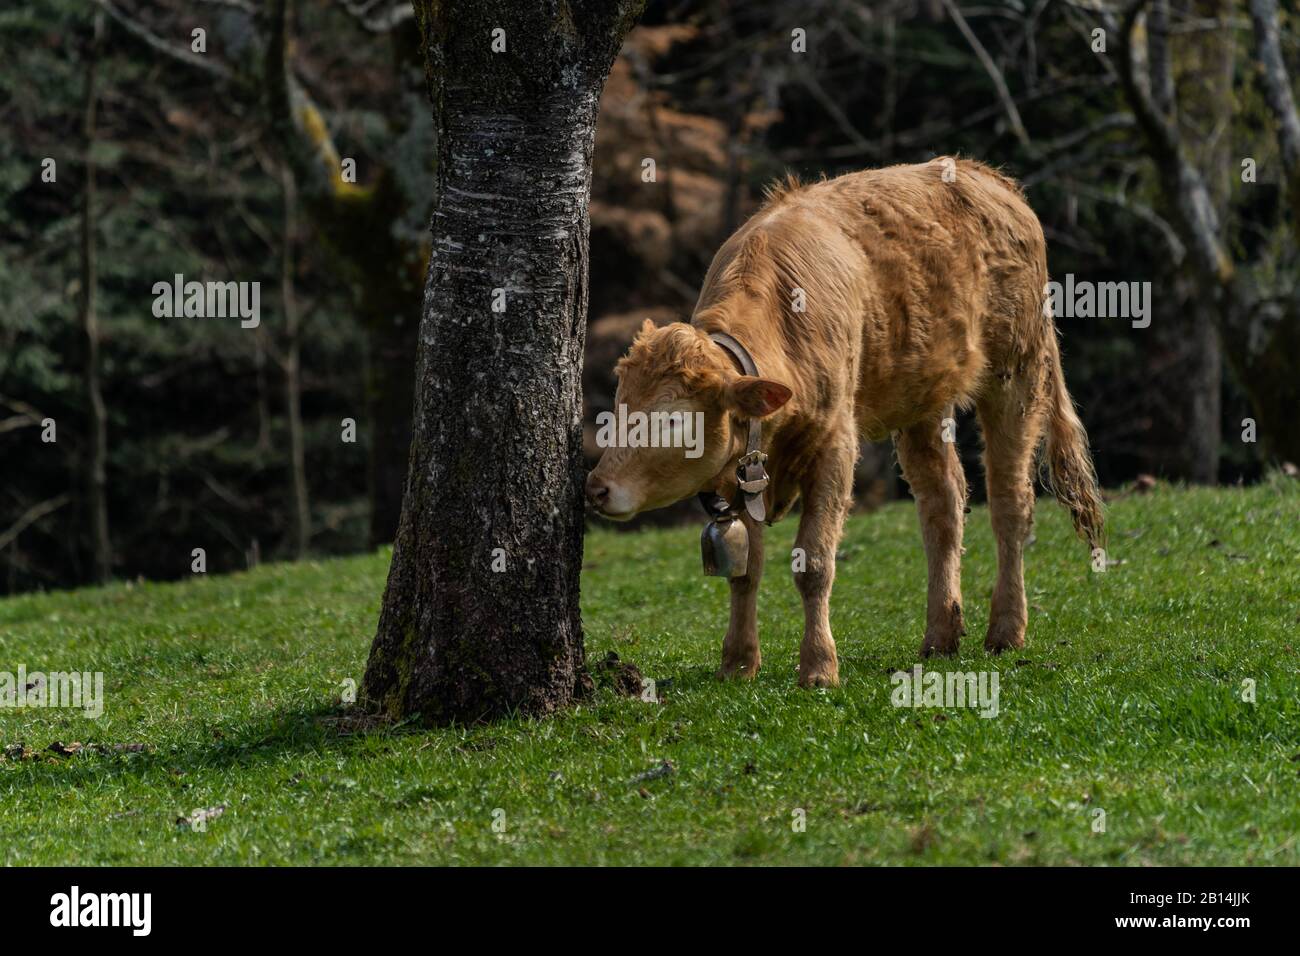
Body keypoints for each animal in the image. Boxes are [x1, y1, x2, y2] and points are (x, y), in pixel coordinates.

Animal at [590, 162, 1107, 686]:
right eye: (618, 408)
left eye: (675, 419)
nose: (597, 488)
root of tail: (989, 178)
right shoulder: (746, 466)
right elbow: (746, 569)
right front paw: (737, 662)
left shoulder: (836, 446)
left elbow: (814, 561)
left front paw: (819, 666)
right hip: (923, 399)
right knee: (943, 504)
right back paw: (940, 634)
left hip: (1016, 374)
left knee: (1010, 503)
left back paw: (1006, 629)